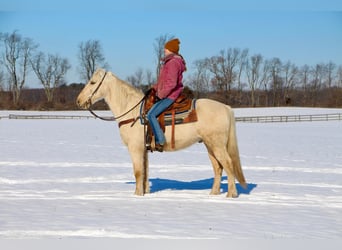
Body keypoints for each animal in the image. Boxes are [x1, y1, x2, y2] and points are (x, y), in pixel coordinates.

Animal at [76, 68, 247, 197]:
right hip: (210, 145)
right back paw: (213, 193)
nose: (78, 101)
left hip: (217, 145)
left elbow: (138, 172)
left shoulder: (135, 148)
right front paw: (144, 192)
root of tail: (226, 107)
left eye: (92, 82)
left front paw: (137, 195)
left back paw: (231, 194)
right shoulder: (143, 149)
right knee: (218, 167)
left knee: (228, 164)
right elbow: (145, 171)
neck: (132, 111)